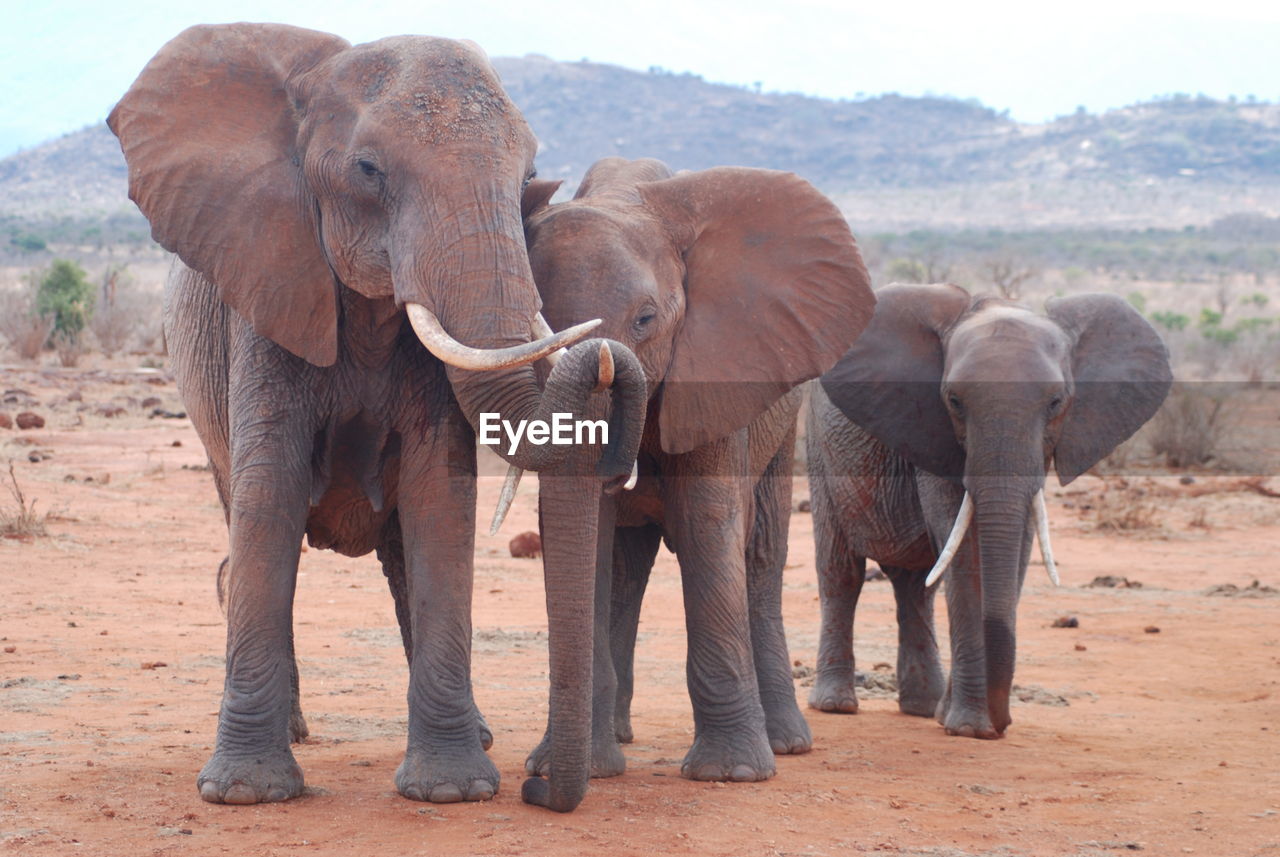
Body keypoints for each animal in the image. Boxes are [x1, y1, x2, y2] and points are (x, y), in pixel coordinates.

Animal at [103, 21, 645, 813]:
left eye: (527, 181)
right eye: (367, 170)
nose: (537, 785)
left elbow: (439, 497)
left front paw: (451, 790)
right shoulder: (268, 289)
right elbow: (269, 494)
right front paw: (245, 794)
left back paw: (477, 738)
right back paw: (295, 734)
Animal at [504, 154, 875, 808]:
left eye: (646, 320)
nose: (530, 789)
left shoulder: (717, 371)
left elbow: (707, 524)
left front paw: (732, 774)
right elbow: (585, 538)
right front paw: (576, 769)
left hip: (785, 428)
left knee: (760, 557)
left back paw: (786, 744)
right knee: (627, 568)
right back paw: (621, 739)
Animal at [808, 283, 1172, 736]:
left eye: (1056, 402)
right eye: (954, 400)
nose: (1004, 722)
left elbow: (1015, 548)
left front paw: (958, 720)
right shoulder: (936, 435)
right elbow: (965, 553)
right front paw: (970, 728)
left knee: (916, 587)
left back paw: (923, 708)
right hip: (818, 453)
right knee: (841, 572)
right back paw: (836, 705)